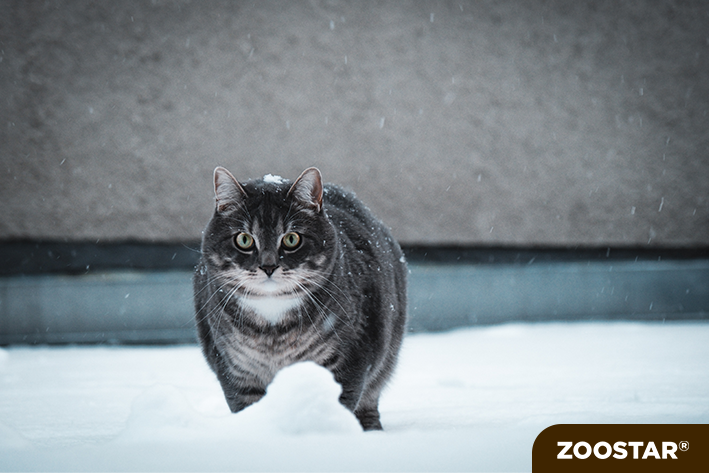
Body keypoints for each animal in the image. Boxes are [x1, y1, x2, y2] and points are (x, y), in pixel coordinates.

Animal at [192, 165, 410, 428]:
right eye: (243, 240)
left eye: (292, 239)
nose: (268, 266)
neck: (272, 328)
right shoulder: (235, 370)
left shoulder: (350, 360)